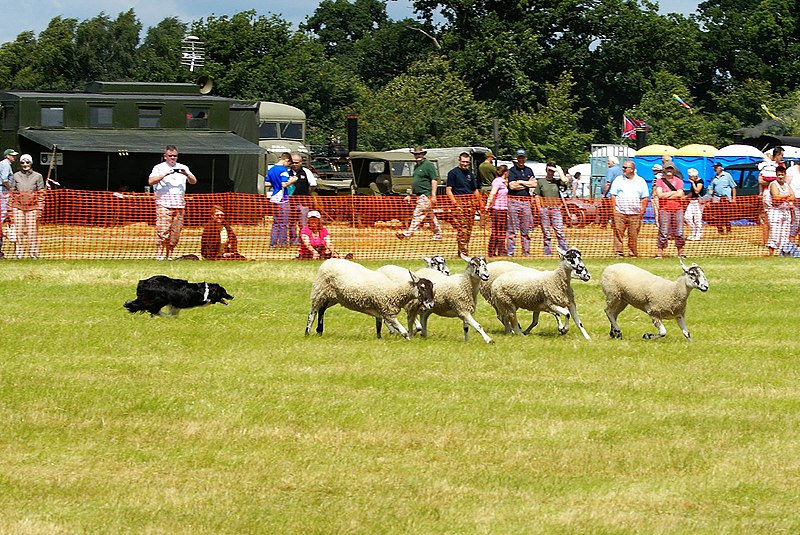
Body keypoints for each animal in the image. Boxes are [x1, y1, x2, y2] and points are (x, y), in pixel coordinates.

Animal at [306, 258, 434, 342]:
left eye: (432, 287)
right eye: (422, 287)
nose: (431, 304)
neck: (395, 290)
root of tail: (328, 261)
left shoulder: (380, 309)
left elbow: (379, 326)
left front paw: (379, 338)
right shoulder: (387, 311)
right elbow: (402, 330)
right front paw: (408, 339)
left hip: (332, 297)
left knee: (322, 310)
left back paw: (319, 330)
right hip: (319, 291)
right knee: (313, 312)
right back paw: (307, 332)